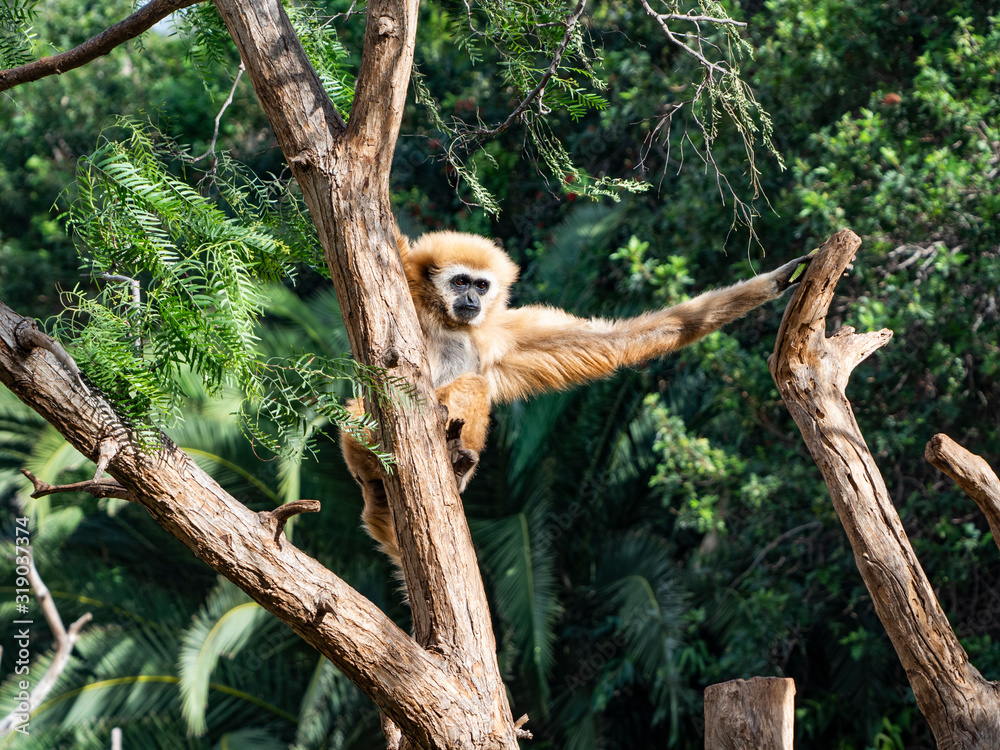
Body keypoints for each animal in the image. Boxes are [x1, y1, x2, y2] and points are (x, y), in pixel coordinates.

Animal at [340, 230, 810, 565]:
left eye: (481, 285)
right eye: (459, 281)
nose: (472, 298)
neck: (448, 321)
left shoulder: (498, 335)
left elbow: (613, 341)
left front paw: (775, 281)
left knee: (474, 386)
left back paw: (455, 461)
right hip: (357, 452)